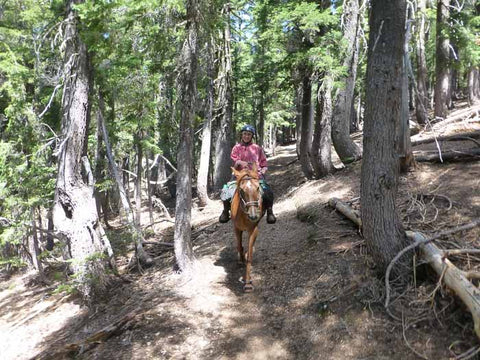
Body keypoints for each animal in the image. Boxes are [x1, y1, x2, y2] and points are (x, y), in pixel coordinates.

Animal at [231, 163, 264, 292]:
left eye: (258, 188)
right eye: (241, 190)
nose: (253, 215)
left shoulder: (253, 230)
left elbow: (249, 255)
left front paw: (248, 283)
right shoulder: (237, 228)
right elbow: (239, 246)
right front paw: (241, 259)